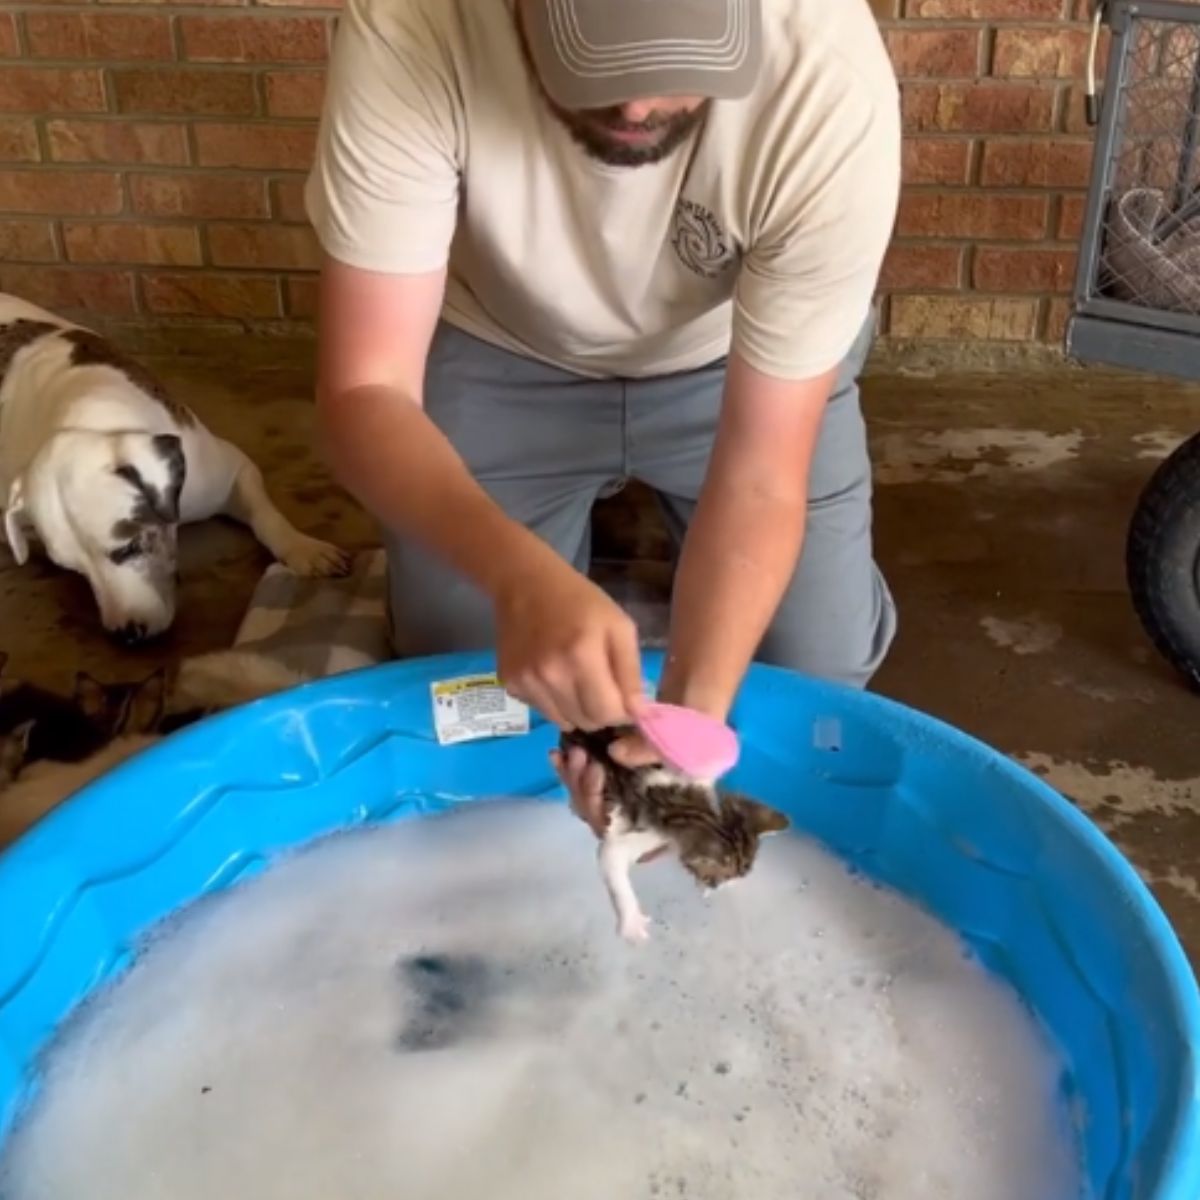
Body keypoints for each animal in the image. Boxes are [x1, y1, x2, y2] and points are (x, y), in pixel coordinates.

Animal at [559, 724, 787, 940]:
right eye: (719, 880)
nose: (725, 886)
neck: (696, 810)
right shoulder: (650, 835)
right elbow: (610, 854)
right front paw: (632, 924)